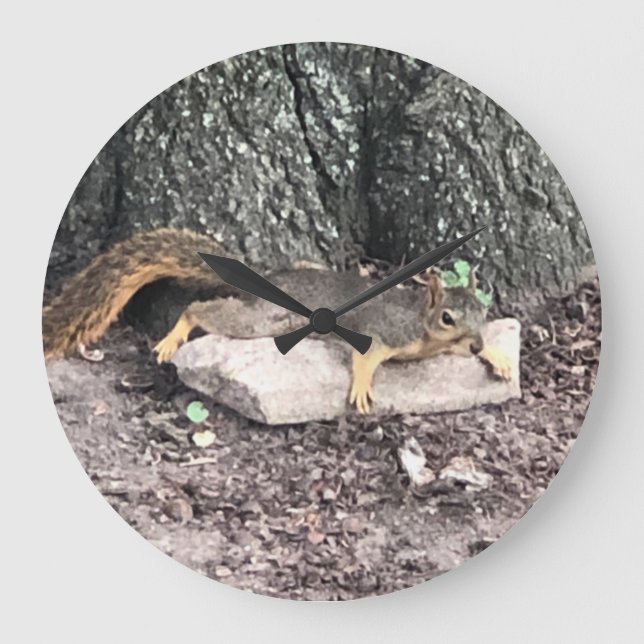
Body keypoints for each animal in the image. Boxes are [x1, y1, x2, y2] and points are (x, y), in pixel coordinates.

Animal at [43, 228, 512, 413]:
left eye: (483, 312)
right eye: (448, 317)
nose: (473, 343)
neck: (423, 326)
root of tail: (269, 282)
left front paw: (498, 356)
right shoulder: (386, 331)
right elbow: (365, 356)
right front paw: (362, 386)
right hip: (266, 320)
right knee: (199, 310)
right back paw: (172, 338)